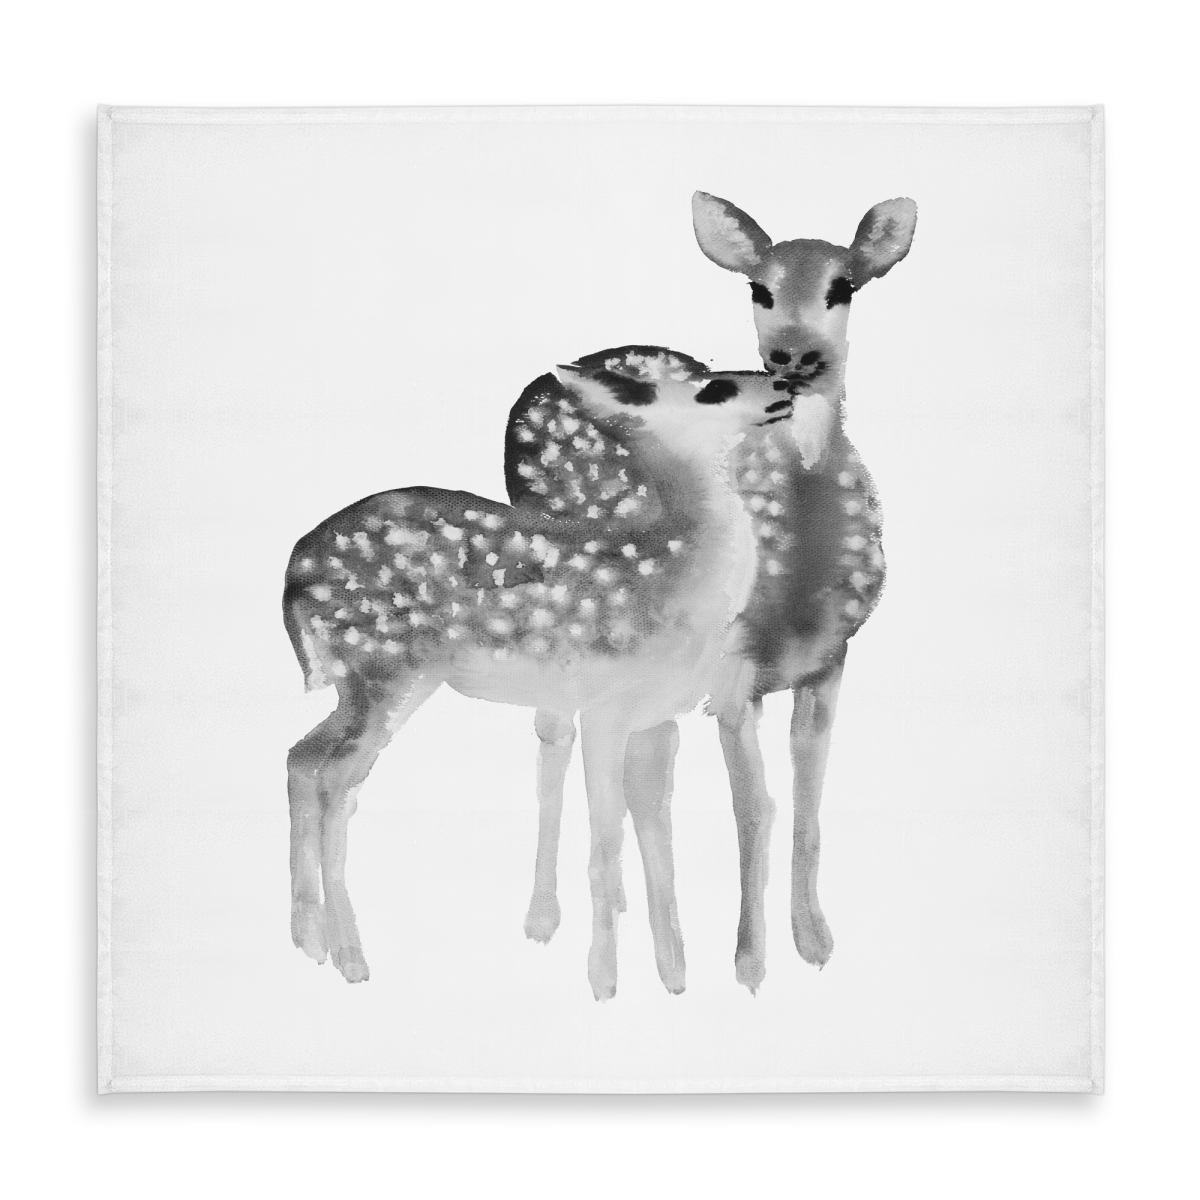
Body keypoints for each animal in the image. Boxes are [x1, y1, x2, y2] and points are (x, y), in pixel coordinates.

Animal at [283, 347, 793, 999]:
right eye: (714, 389)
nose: (784, 386)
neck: (678, 577)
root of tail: (293, 574)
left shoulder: (654, 717)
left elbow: (657, 835)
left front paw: (674, 978)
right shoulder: (605, 705)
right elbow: (606, 843)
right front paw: (604, 982)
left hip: (360, 685)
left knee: (303, 759)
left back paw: (310, 942)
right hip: (388, 671)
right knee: (335, 780)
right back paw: (352, 958)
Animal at [509, 193, 917, 991]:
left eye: (844, 286)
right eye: (759, 288)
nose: (791, 358)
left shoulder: (830, 663)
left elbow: (809, 801)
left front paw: (814, 942)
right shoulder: (733, 672)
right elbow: (753, 810)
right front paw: (750, 963)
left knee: (642, 761)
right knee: (555, 730)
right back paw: (543, 920)